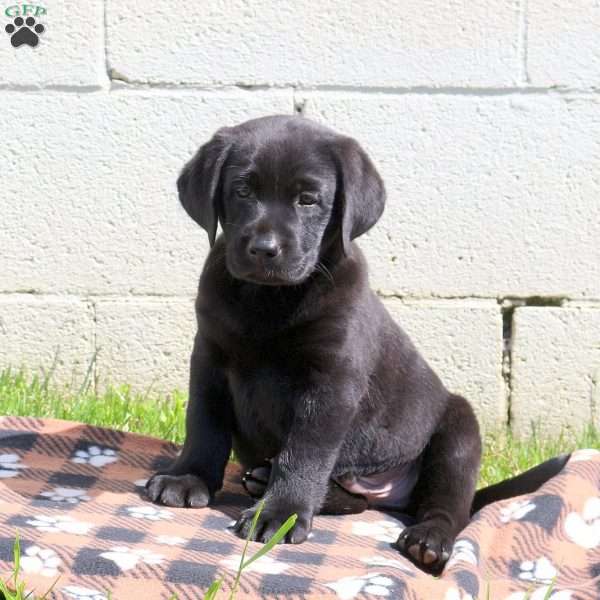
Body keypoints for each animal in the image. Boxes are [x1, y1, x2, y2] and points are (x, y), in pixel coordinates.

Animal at [148, 113, 568, 572]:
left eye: (308, 200)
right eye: (242, 190)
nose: (264, 248)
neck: (269, 299)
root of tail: (395, 495)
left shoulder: (331, 382)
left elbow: (305, 453)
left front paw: (279, 513)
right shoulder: (209, 357)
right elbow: (204, 423)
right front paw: (188, 476)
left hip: (459, 431)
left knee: (449, 505)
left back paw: (427, 539)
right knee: (358, 503)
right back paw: (267, 481)